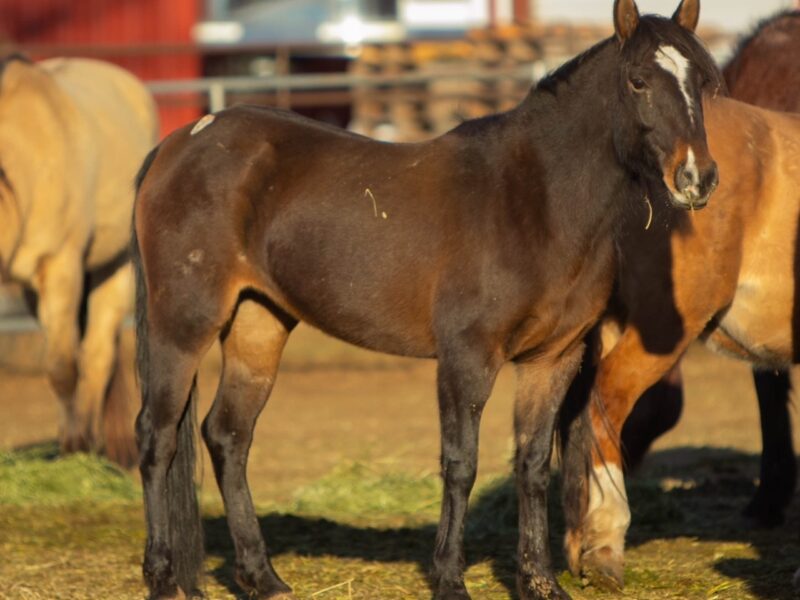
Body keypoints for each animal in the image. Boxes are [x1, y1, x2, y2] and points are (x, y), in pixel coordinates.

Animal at [0, 56, 158, 466]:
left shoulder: (61, 266)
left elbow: (62, 368)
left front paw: (73, 448)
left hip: (115, 267)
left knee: (97, 354)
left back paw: (89, 444)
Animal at [130, 2, 720, 596]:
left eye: (703, 82)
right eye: (638, 81)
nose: (698, 178)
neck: (535, 201)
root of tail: (177, 144)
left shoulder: (552, 360)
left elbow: (532, 465)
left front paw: (539, 582)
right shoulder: (467, 357)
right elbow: (460, 463)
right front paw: (450, 579)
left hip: (259, 323)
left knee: (228, 436)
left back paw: (262, 576)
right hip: (182, 323)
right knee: (157, 436)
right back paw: (163, 576)